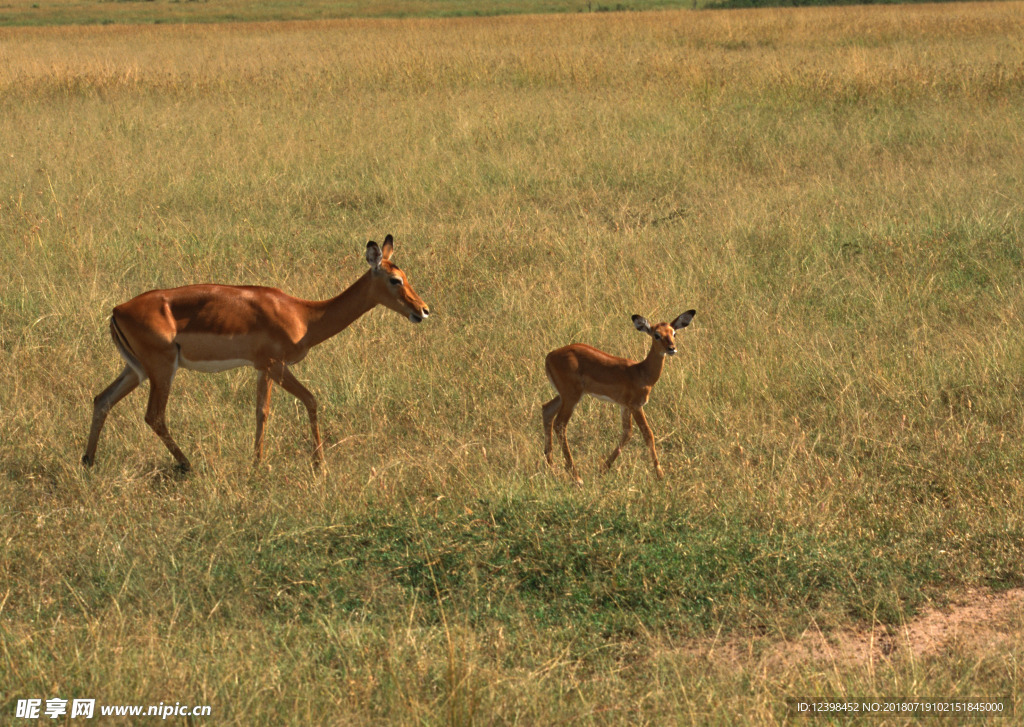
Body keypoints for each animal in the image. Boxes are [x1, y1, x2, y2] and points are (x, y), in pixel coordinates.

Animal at [82, 234, 428, 473]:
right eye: (395, 279)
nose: (423, 310)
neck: (304, 315)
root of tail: (117, 310)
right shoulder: (277, 365)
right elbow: (310, 400)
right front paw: (319, 465)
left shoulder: (262, 368)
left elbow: (261, 412)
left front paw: (257, 464)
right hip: (162, 369)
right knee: (154, 415)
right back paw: (188, 465)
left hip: (136, 371)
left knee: (102, 400)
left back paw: (88, 463)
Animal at [544, 311, 696, 487]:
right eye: (656, 335)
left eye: (674, 333)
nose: (672, 349)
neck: (641, 372)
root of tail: (549, 356)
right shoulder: (637, 406)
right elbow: (648, 434)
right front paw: (660, 475)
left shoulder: (625, 407)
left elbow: (627, 433)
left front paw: (603, 469)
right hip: (571, 397)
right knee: (560, 424)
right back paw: (576, 477)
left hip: (564, 396)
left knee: (546, 410)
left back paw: (551, 467)